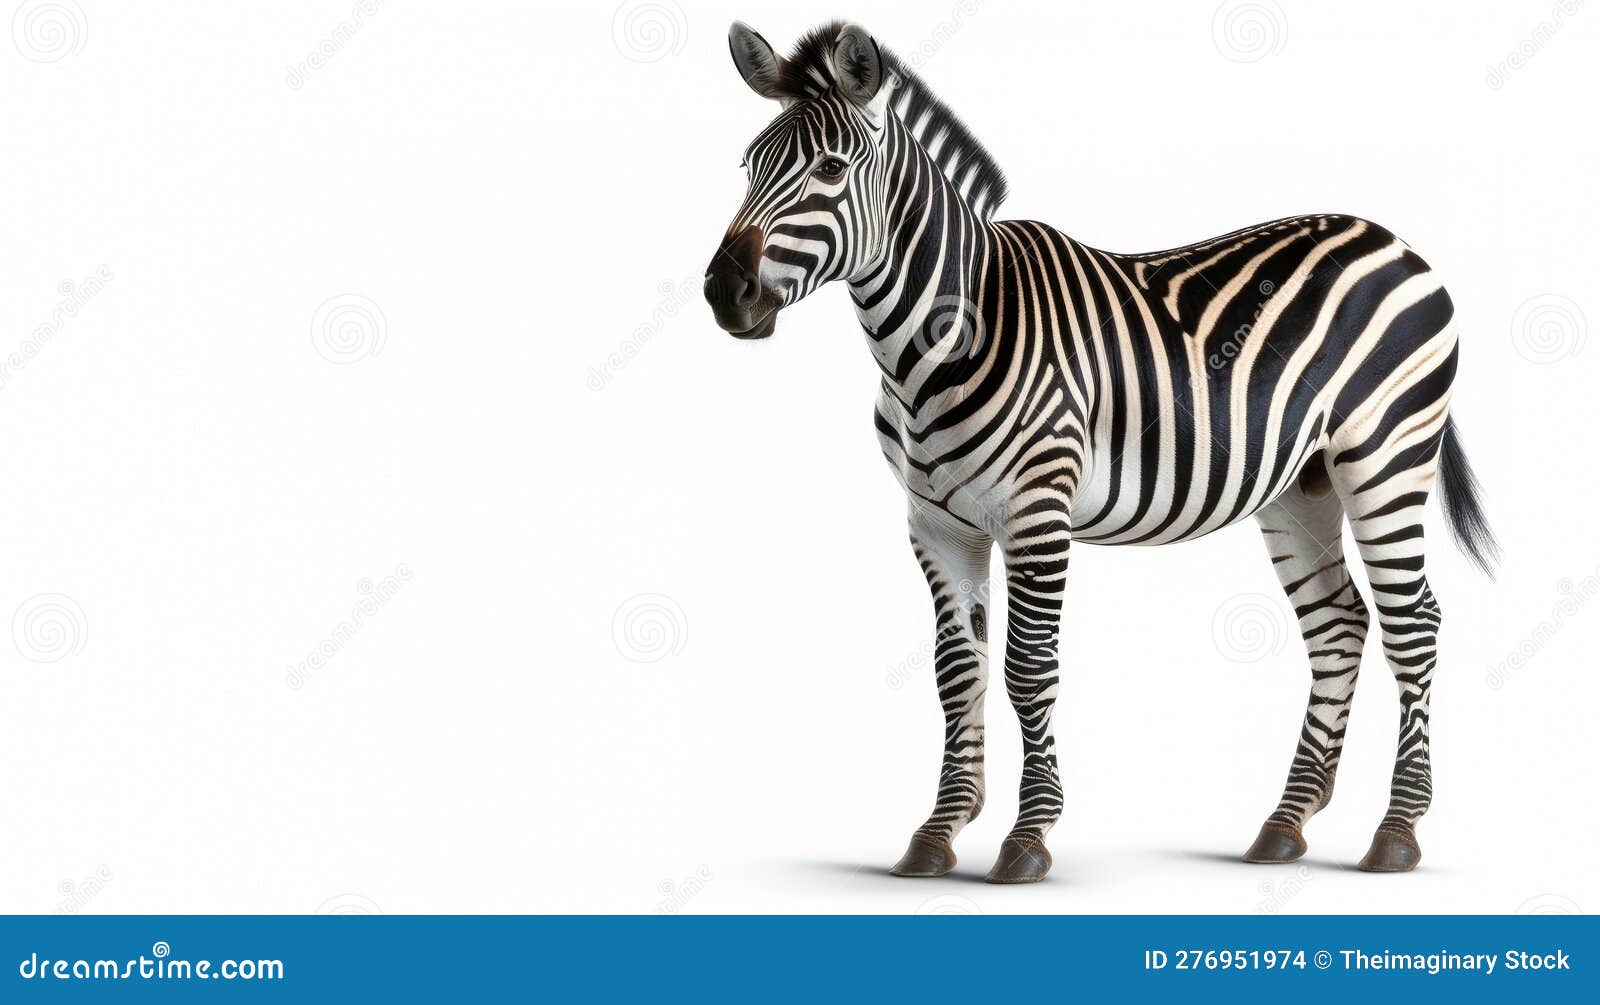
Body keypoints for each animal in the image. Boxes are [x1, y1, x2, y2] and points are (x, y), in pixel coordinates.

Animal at [703, 21, 1497, 883]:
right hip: (1301, 485)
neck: (939, 339)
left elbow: (1027, 668)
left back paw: (1397, 831)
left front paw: (1028, 835)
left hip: (1385, 457)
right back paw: (1286, 822)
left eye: (830, 169)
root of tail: (1395, 240)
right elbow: (956, 672)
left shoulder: (1037, 511)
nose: (722, 293)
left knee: (1413, 622)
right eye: (748, 166)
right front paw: (940, 831)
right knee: (1340, 623)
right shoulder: (935, 523)